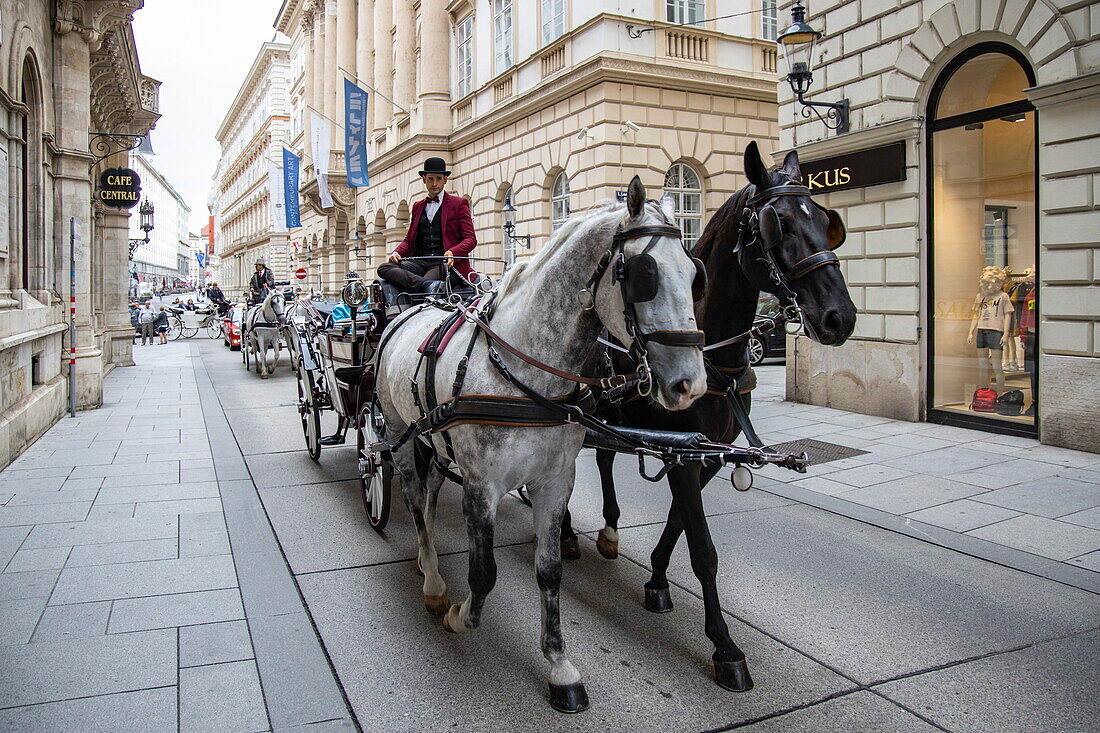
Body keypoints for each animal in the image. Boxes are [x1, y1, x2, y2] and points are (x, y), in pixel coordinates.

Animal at [374, 179, 708, 708]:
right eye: (643, 275)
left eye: (695, 272)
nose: (690, 385)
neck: (526, 371)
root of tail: (412, 309)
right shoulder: (482, 485)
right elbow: (484, 573)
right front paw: (459, 616)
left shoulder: (555, 482)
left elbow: (549, 572)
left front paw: (559, 664)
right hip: (397, 434)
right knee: (411, 498)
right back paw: (432, 578)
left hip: (432, 438)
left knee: (427, 495)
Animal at [567, 140, 858, 691]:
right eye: (778, 223)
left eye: (826, 221)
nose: (840, 317)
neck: (710, 354)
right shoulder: (683, 456)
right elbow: (703, 549)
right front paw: (725, 646)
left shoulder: (706, 456)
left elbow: (681, 523)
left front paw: (657, 579)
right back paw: (567, 529)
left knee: (604, 462)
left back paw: (609, 530)